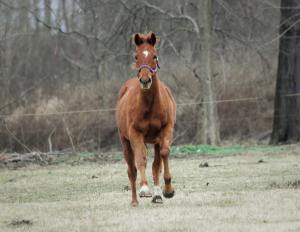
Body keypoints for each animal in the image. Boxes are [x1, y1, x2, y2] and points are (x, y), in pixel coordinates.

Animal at [115, 31, 176, 207]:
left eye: (154, 56)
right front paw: (144, 189)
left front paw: (168, 190)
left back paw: (157, 195)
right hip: (125, 142)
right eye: (136, 56)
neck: (150, 105)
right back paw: (135, 200)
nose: (145, 80)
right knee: (131, 169)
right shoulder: (136, 134)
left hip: (155, 140)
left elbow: (163, 154)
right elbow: (141, 159)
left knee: (156, 165)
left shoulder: (166, 129)